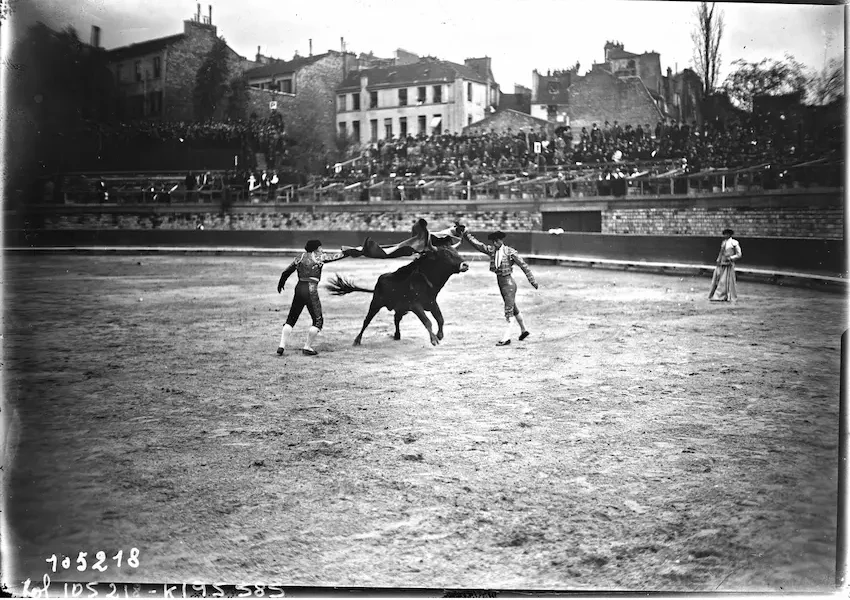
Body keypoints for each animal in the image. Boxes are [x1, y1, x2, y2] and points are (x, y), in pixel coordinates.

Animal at [326, 245, 470, 346]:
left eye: (456, 252)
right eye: (446, 254)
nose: (465, 264)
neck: (424, 279)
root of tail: (379, 281)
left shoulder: (431, 303)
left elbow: (440, 319)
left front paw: (439, 335)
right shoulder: (416, 305)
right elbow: (427, 321)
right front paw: (434, 339)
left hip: (401, 308)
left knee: (396, 319)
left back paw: (397, 335)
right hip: (376, 303)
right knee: (367, 320)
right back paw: (357, 340)